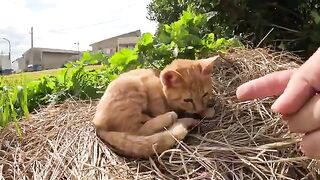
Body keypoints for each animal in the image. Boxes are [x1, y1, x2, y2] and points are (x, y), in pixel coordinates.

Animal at [91, 55, 219, 158]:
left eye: (205, 95)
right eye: (187, 100)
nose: (199, 109)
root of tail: (96, 124)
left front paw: (205, 111)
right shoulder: (150, 86)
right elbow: (159, 106)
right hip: (132, 88)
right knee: (136, 131)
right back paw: (171, 118)